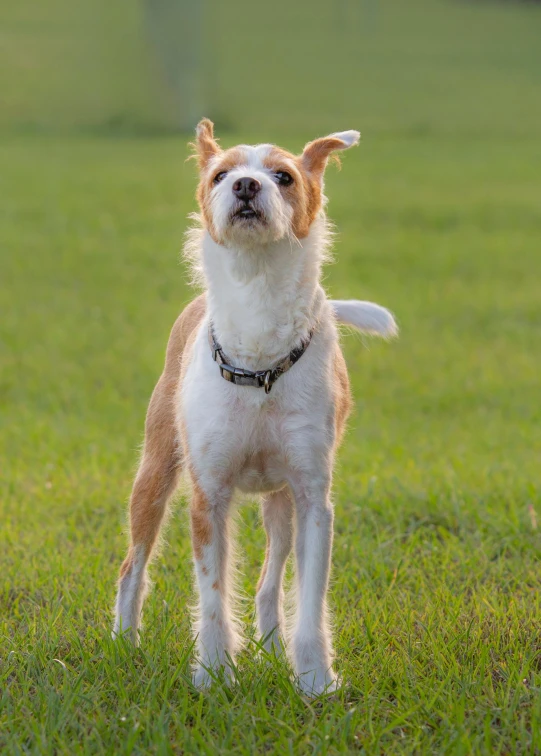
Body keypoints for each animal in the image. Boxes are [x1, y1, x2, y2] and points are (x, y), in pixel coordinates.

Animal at [112, 119, 396, 696]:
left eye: (283, 176)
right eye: (221, 175)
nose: (245, 186)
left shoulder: (312, 498)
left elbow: (308, 601)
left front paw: (314, 679)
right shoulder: (209, 497)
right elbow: (213, 597)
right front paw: (216, 676)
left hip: (279, 503)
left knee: (268, 584)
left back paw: (272, 653)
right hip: (155, 474)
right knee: (133, 564)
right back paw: (123, 644)